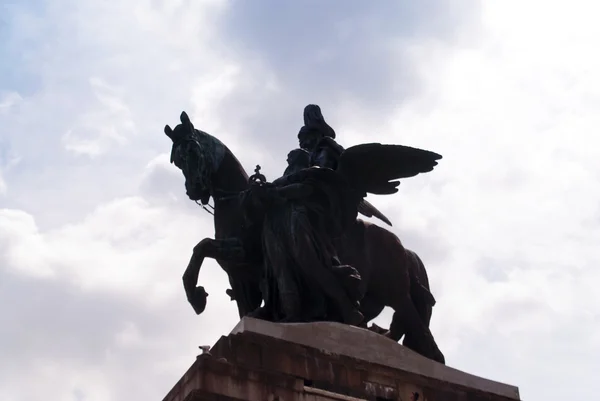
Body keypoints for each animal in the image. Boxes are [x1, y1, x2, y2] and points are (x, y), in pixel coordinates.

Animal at [164, 111, 446, 362]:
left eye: (192, 151)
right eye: (177, 160)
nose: (194, 190)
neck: (238, 204)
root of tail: (406, 249)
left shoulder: (245, 253)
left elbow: (203, 246)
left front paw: (197, 296)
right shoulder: (237, 272)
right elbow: (207, 256)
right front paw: (201, 297)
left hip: (395, 291)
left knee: (418, 329)